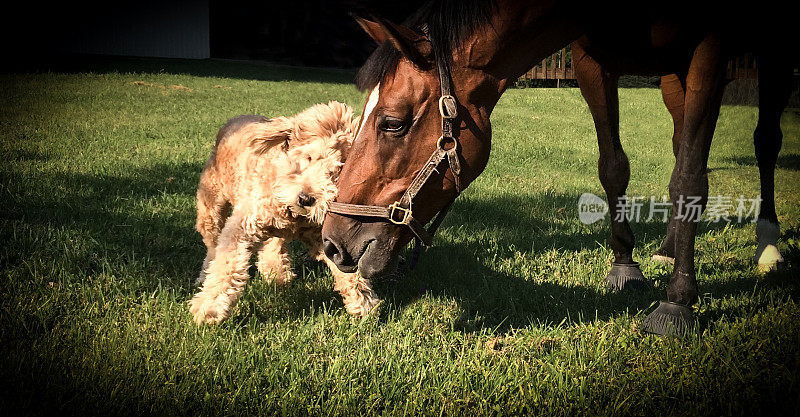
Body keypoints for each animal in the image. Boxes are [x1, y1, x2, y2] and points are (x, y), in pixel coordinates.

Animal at [190, 101, 378, 324]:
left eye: (339, 170)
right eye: (309, 157)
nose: (306, 198)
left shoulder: (322, 236)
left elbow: (345, 266)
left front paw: (364, 303)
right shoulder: (243, 225)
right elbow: (227, 263)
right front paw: (210, 307)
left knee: (274, 244)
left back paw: (277, 273)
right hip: (210, 204)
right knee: (212, 245)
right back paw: (204, 275)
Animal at [322, 0, 796, 334]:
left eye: (392, 123)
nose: (332, 243)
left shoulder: (710, 47)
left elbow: (690, 177)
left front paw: (678, 301)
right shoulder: (592, 61)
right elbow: (614, 166)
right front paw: (626, 265)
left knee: (763, 144)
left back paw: (767, 244)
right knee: (682, 142)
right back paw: (667, 246)